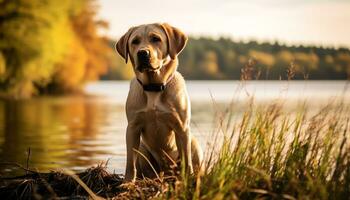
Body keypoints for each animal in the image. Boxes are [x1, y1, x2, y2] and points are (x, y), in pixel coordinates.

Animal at [115, 23, 202, 181]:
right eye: (135, 41)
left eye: (156, 39)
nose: (143, 53)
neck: (153, 87)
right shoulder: (132, 128)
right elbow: (130, 162)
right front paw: (127, 182)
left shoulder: (181, 128)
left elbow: (187, 161)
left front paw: (188, 179)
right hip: (143, 148)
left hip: (193, 143)